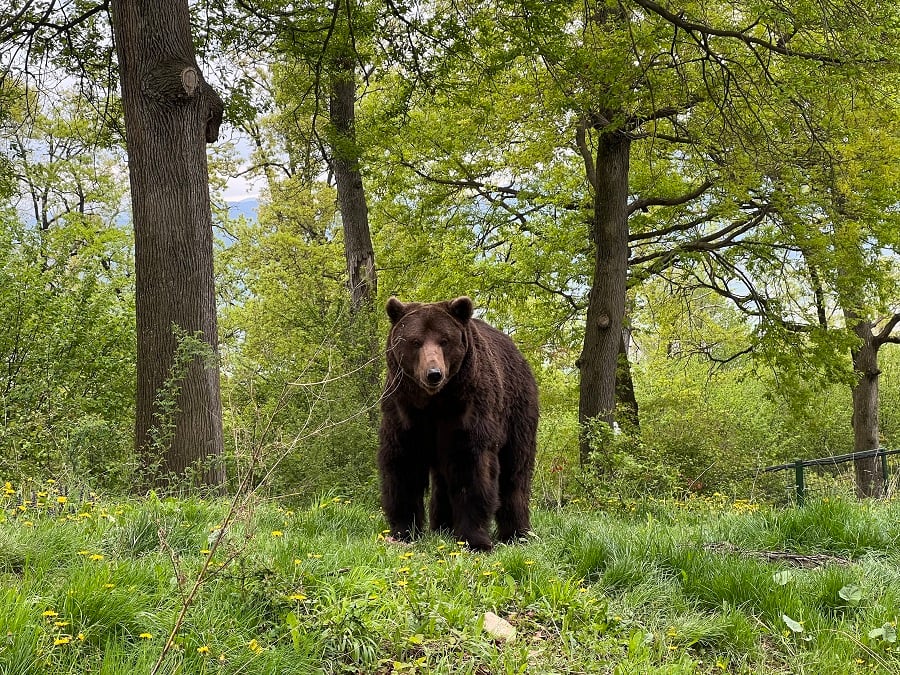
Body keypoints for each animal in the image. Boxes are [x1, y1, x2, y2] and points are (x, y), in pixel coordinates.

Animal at [378, 296, 539, 551]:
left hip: (518, 412)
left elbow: (471, 468)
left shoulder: (468, 408)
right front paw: (403, 532)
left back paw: (517, 533)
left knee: (515, 472)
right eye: (415, 341)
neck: (435, 401)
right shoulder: (404, 410)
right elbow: (403, 464)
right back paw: (442, 527)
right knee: (442, 480)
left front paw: (475, 540)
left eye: (444, 340)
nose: (434, 373)